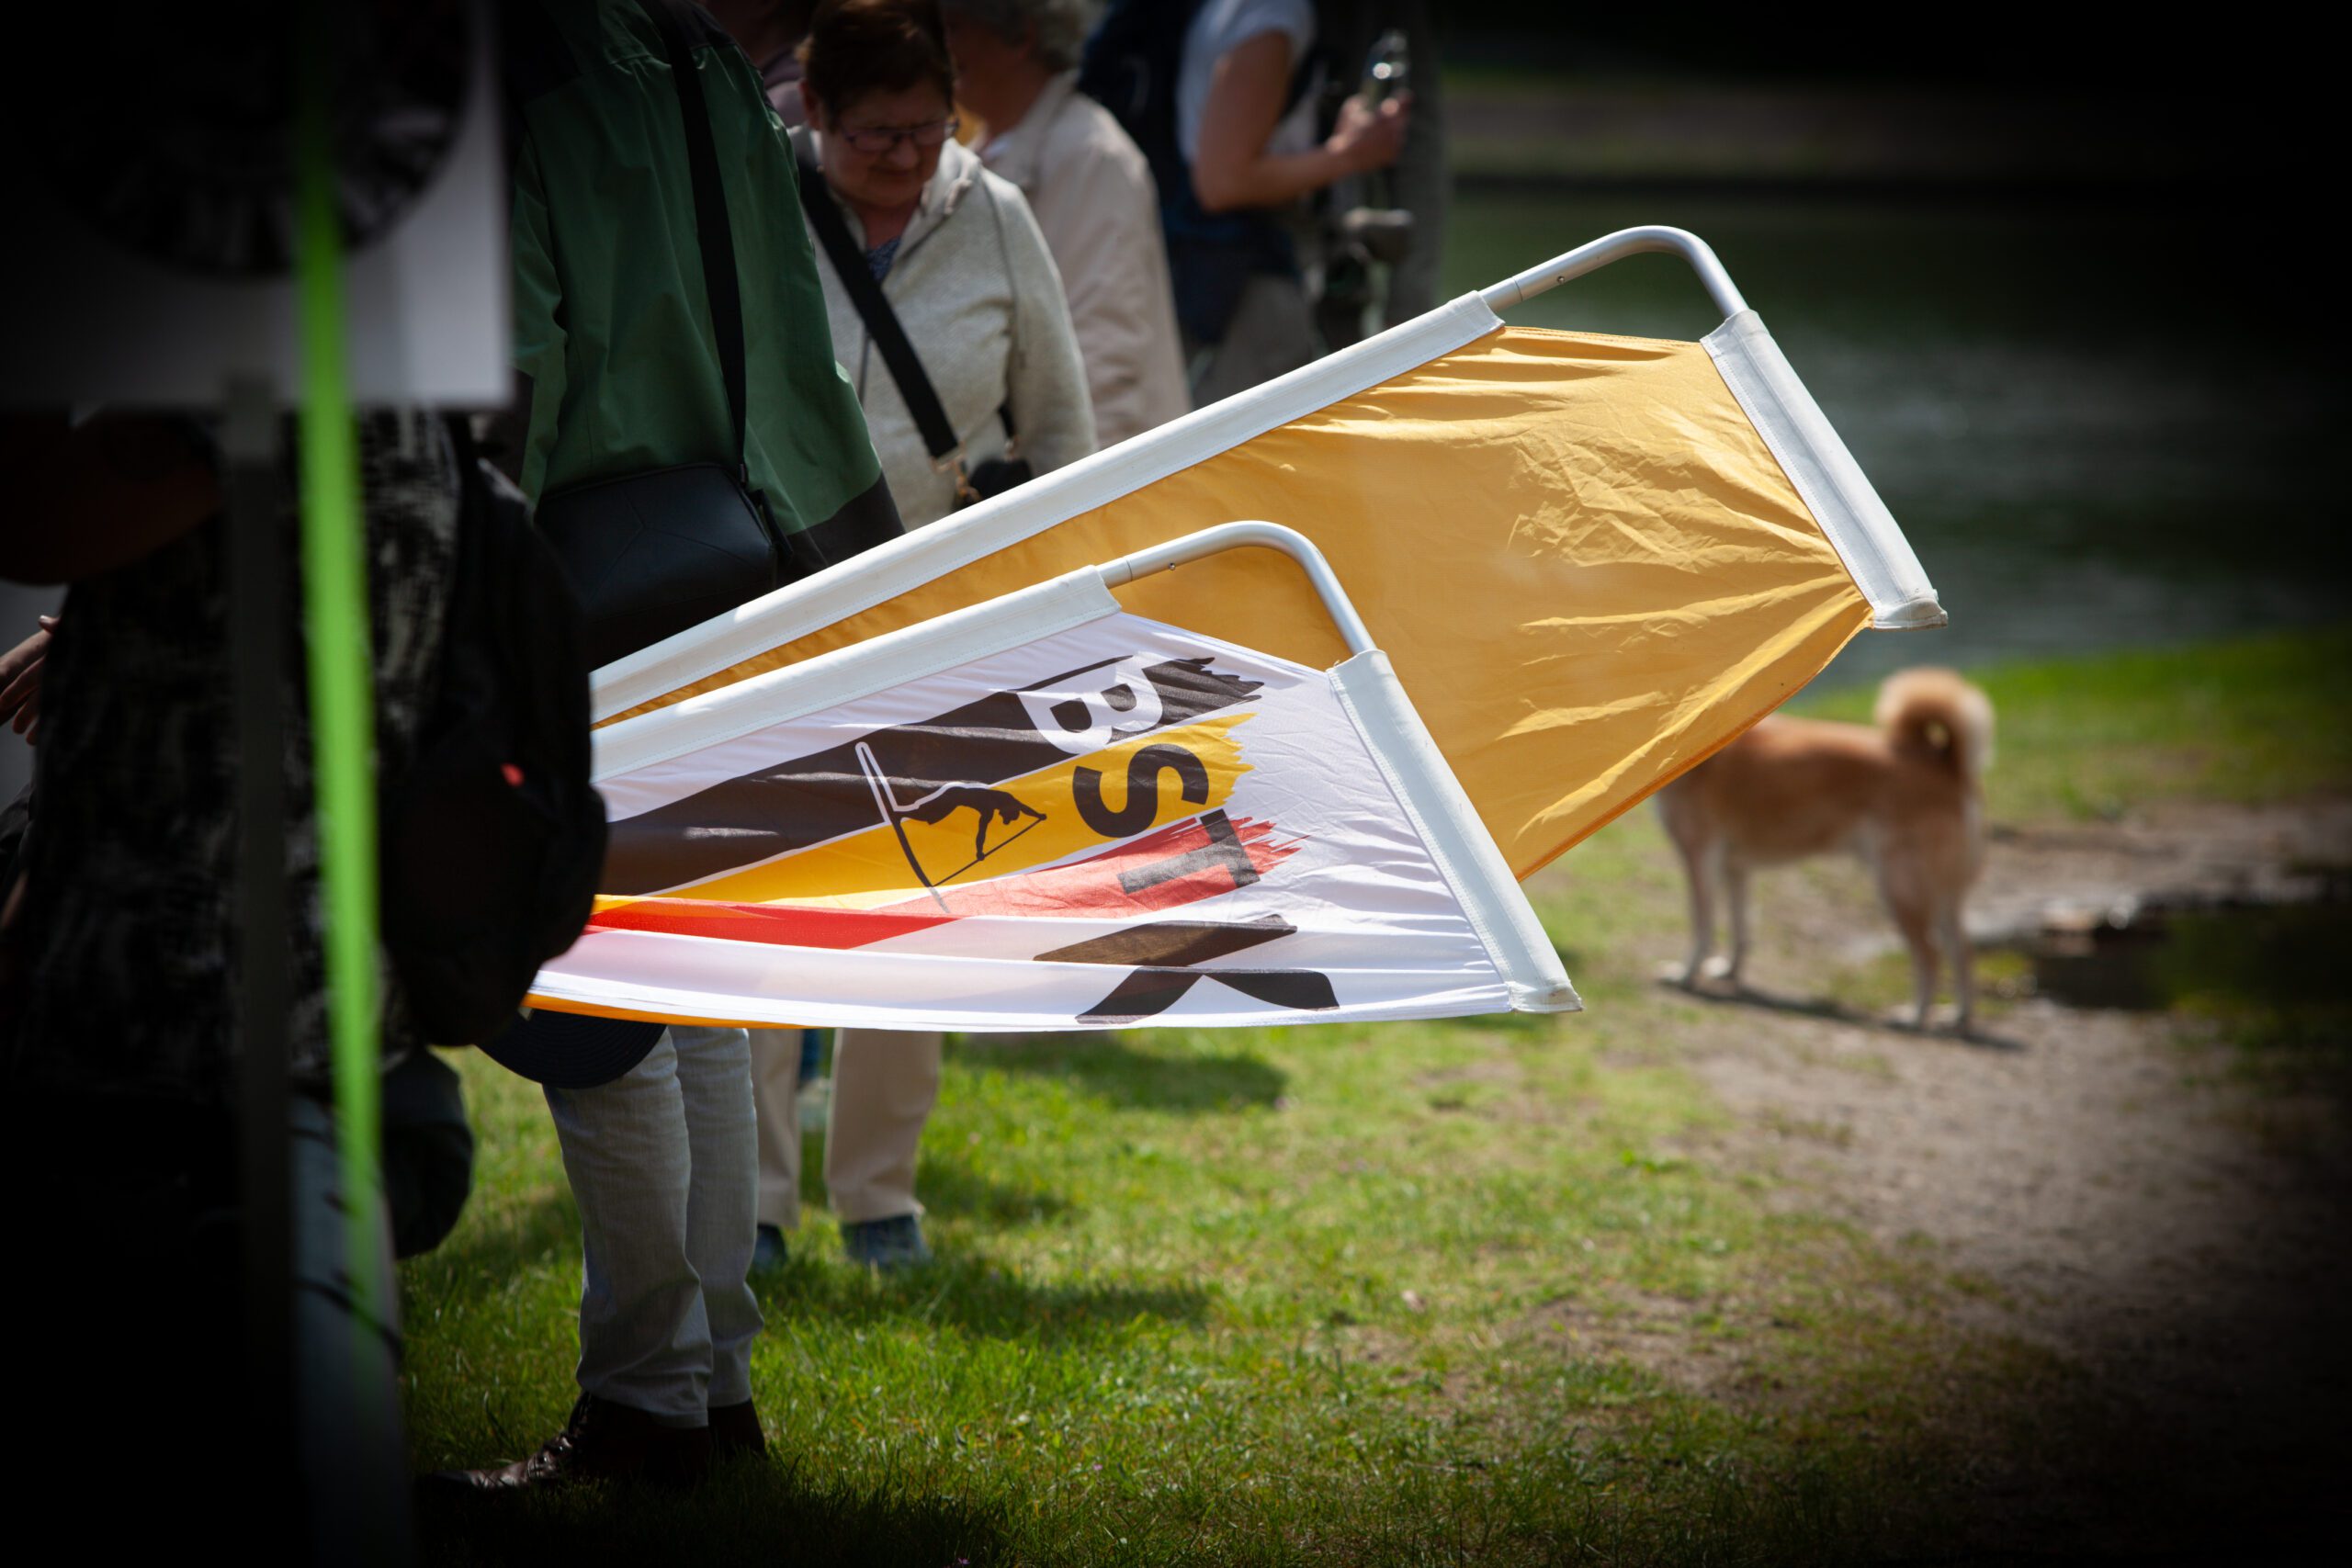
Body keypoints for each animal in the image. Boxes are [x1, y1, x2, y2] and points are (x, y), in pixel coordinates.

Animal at [1646, 667, 1994, 1034]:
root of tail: (1945, 763)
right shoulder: (1735, 867)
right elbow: (1741, 929)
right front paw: (1728, 971)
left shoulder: (1698, 857)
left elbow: (1702, 926)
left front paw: (1686, 975)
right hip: (1941, 893)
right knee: (1962, 949)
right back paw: (1957, 1016)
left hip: (1900, 887)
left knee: (1931, 953)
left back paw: (1914, 1016)